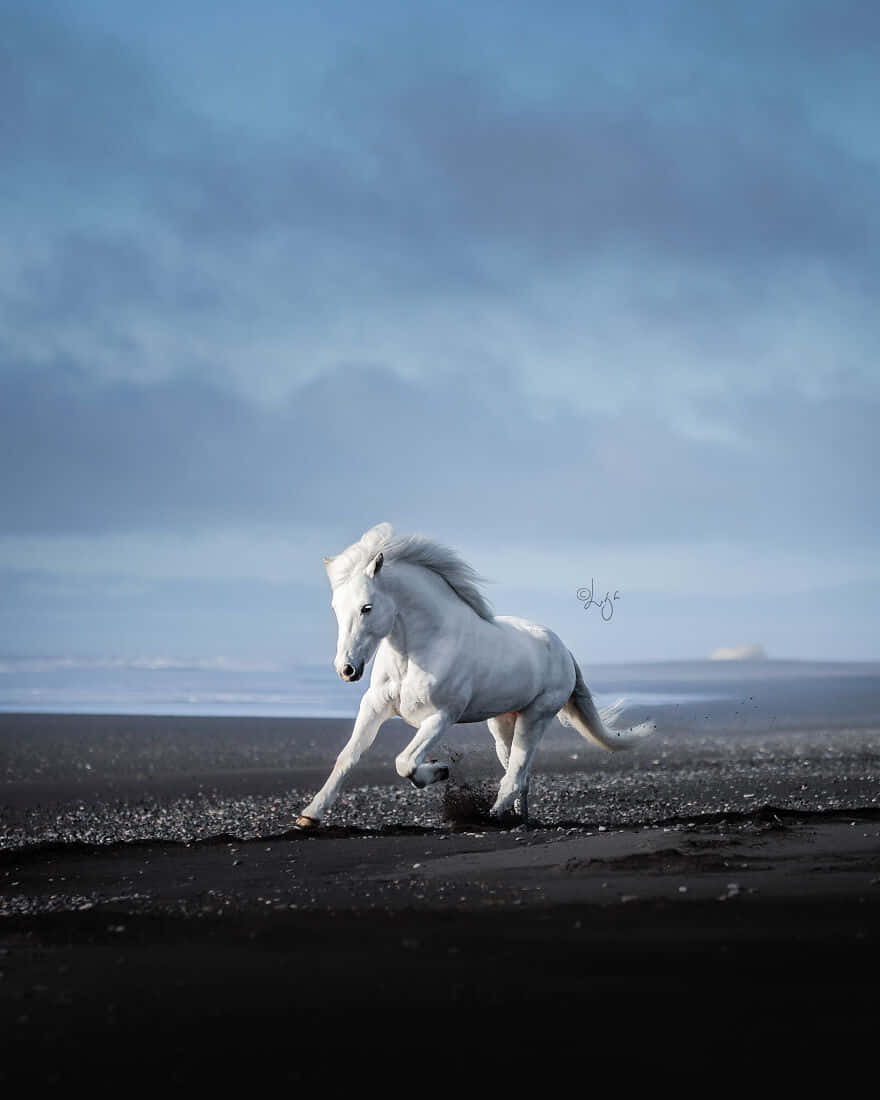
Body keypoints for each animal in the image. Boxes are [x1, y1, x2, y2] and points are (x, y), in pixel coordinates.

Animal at [297, 528, 651, 827]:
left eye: (366, 608)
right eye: (335, 607)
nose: (346, 669)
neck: (415, 654)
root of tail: (564, 650)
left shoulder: (441, 716)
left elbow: (405, 762)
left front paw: (440, 770)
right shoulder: (374, 707)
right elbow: (348, 757)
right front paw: (309, 815)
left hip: (536, 716)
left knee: (516, 772)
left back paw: (493, 815)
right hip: (503, 722)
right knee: (519, 772)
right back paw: (519, 818)